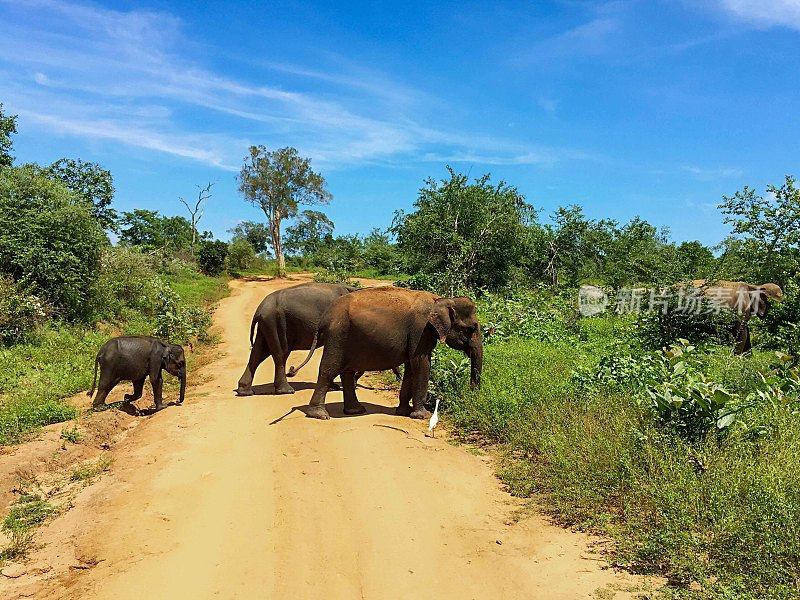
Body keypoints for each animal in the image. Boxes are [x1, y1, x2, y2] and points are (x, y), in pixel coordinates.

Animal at [292, 288, 482, 422]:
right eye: (471, 329)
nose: (472, 394)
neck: (440, 299)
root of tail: (324, 317)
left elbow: (411, 366)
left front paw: (403, 412)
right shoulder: (420, 330)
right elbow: (421, 364)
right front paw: (423, 416)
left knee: (347, 371)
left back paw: (355, 410)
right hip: (337, 335)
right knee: (329, 368)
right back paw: (320, 415)